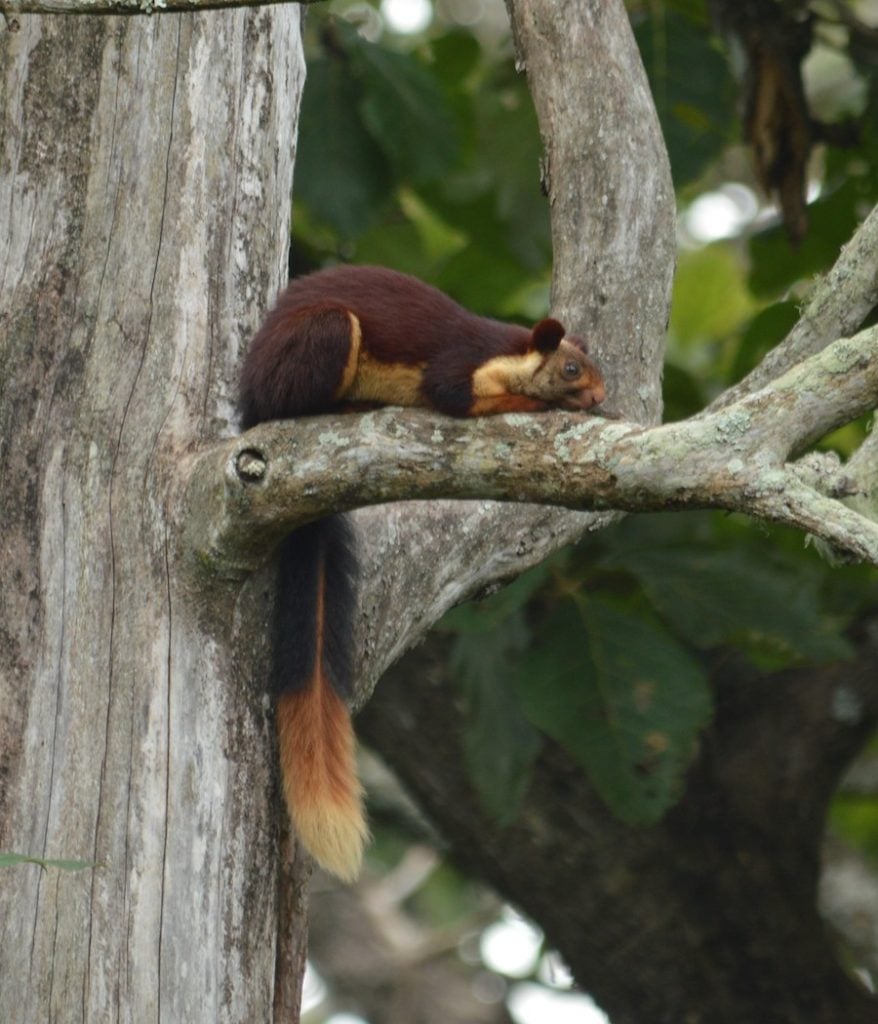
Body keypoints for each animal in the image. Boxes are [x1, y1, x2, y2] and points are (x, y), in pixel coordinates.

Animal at [238, 264, 606, 881]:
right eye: (572, 368)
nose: (602, 395)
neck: (508, 351)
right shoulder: (457, 367)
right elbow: (456, 398)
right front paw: (544, 406)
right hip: (320, 338)